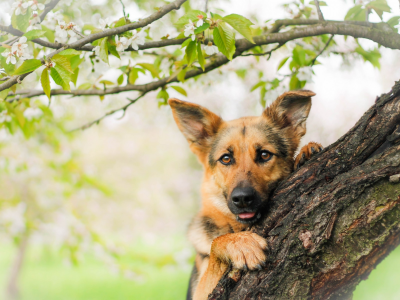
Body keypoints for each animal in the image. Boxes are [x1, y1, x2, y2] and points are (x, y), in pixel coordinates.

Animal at [168, 89, 322, 300]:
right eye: (226, 158)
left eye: (264, 155)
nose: (242, 199)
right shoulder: (200, 291)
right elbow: (216, 243)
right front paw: (239, 243)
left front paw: (306, 150)